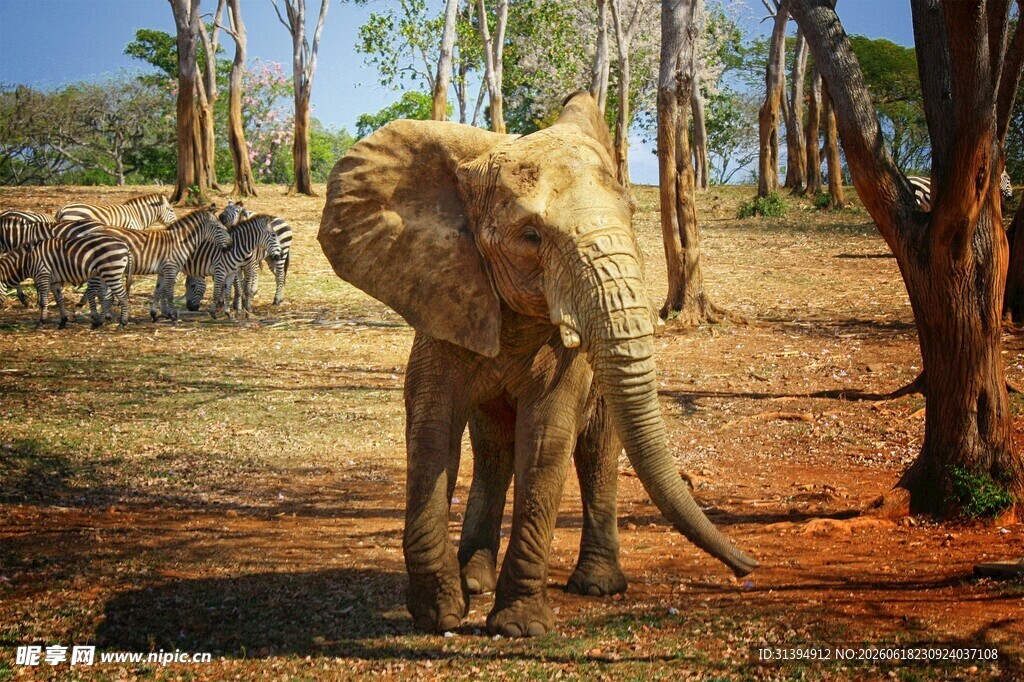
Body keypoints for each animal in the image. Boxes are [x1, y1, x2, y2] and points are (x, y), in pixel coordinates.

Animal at [318, 92, 758, 638]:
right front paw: (438, 614)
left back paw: (596, 586)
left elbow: (547, 437)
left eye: (633, 212)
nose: (748, 569)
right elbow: (430, 433)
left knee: (595, 453)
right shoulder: (441, 298)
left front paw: (518, 628)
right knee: (493, 450)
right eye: (530, 236)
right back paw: (475, 580)